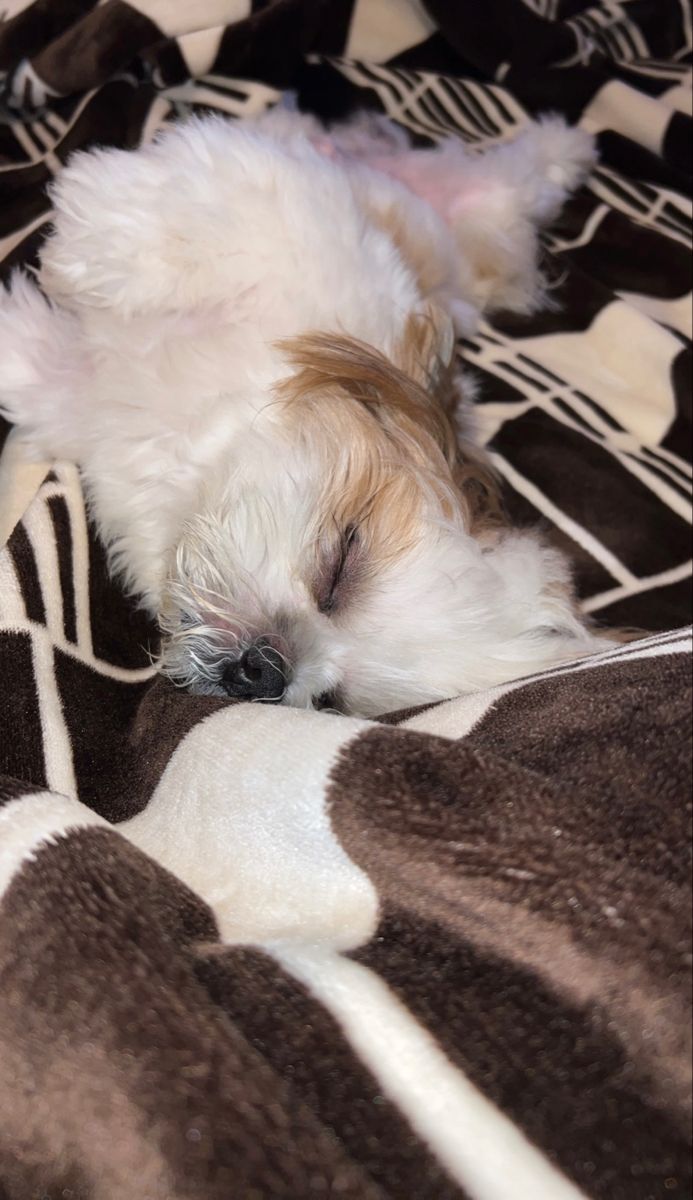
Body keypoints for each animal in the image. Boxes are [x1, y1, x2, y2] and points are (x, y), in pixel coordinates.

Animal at [0, 105, 611, 710]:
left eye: (330, 700)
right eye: (339, 569)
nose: (267, 670)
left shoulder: (80, 401)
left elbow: (30, 364)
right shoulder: (298, 215)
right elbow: (202, 219)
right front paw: (93, 238)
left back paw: (563, 151)